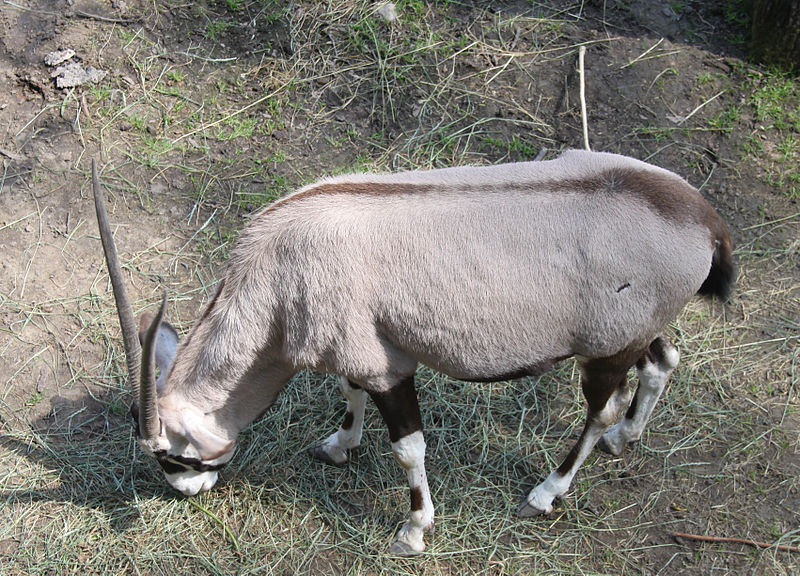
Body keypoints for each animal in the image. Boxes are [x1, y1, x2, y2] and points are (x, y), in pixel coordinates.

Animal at [90, 151, 736, 556]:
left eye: (171, 455)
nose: (188, 492)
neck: (276, 275)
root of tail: (705, 220)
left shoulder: (389, 369)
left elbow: (407, 449)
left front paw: (414, 531)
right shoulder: (359, 353)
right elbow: (346, 392)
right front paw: (338, 445)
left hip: (602, 354)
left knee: (599, 410)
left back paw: (546, 492)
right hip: (634, 337)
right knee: (662, 362)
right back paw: (627, 438)